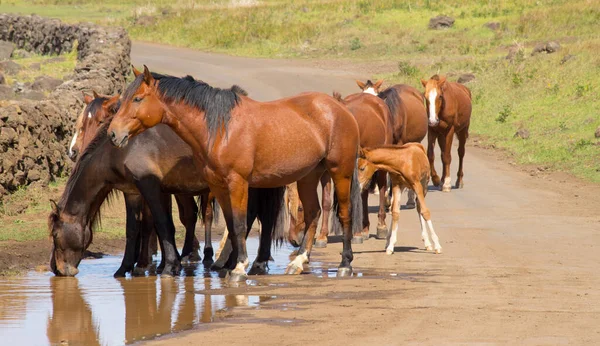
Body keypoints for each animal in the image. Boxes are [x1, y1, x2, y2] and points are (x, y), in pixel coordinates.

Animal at [70, 93, 216, 268]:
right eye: (84, 124)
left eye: (101, 121)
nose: (77, 153)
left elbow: (152, 222)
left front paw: (147, 262)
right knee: (190, 213)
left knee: (204, 214)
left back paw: (205, 255)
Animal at [107, 65, 360, 282]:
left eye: (137, 98)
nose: (113, 134)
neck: (220, 129)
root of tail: (340, 108)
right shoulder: (218, 186)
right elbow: (231, 223)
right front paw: (230, 265)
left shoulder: (238, 183)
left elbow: (239, 224)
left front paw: (238, 268)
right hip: (309, 175)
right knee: (313, 213)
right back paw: (297, 262)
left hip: (340, 172)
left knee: (344, 213)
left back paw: (345, 265)